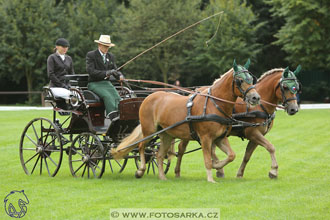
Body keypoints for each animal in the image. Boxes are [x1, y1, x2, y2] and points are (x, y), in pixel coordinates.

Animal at [111, 59, 260, 182]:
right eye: (240, 80)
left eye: (251, 79)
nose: (255, 98)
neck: (214, 105)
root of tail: (149, 97)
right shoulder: (205, 138)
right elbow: (207, 159)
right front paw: (211, 178)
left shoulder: (220, 138)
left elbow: (231, 155)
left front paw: (217, 165)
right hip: (149, 130)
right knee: (142, 146)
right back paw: (140, 170)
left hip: (166, 134)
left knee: (159, 154)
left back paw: (162, 177)